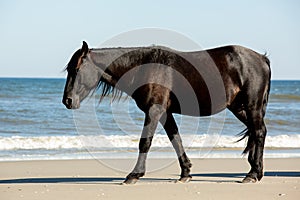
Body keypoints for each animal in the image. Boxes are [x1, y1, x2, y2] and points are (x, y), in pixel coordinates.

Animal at [62, 41, 270, 184]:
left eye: (77, 69)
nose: (67, 100)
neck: (145, 67)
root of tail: (262, 58)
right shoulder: (165, 114)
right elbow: (176, 140)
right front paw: (185, 173)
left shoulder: (154, 110)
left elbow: (145, 142)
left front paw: (134, 175)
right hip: (239, 108)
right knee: (257, 132)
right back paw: (254, 170)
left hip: (251, 106)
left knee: (259, 132)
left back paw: (252, 174)